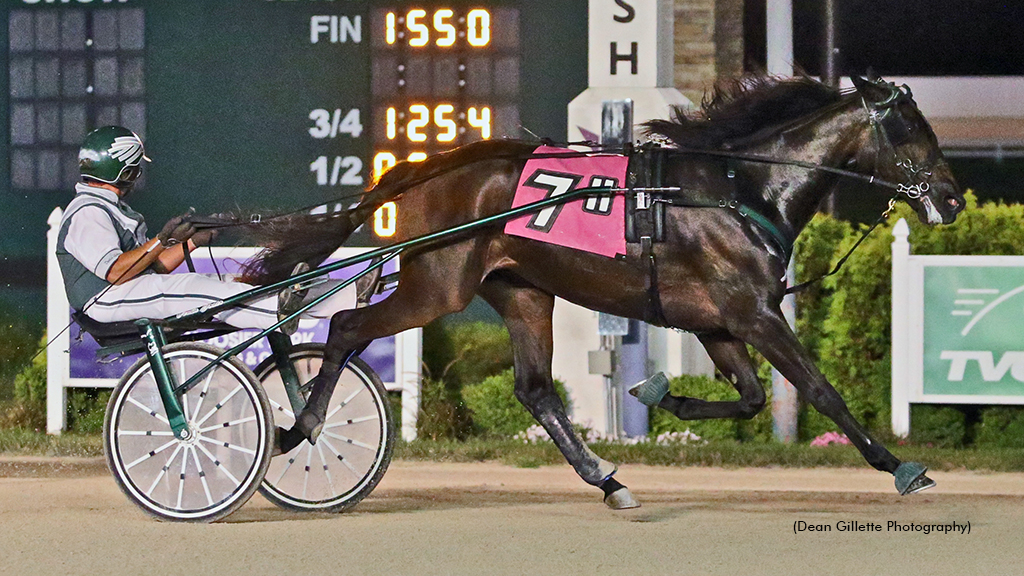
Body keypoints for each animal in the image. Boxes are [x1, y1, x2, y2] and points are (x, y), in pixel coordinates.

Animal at [243, 75, 962, 506]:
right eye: (910, 130)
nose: (953, 200)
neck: (740, 188)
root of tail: (426, 167)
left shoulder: (717, 321)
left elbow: (753, 397)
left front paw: (658, 392)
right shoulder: (753, 313)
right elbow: (819, 390)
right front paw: (901, 466)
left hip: (522, 291)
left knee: (535, 391)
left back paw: (609, 479)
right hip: (439, 286)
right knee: (345, 330)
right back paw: (302, 425)